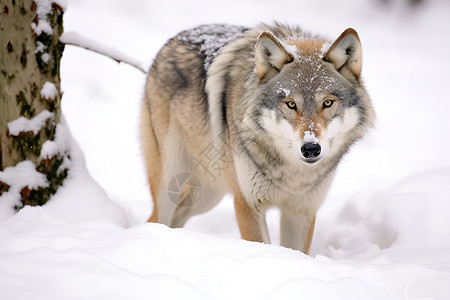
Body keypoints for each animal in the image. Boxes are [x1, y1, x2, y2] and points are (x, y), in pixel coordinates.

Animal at [142, 23, 376, 253]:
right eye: (291, 104)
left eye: (327, 103)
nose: (310, 148)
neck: (293, 176)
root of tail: (173, 39)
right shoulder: (247, 204)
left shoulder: (301, 212)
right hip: (170, 185)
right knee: (155, 218)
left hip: (207, 195)